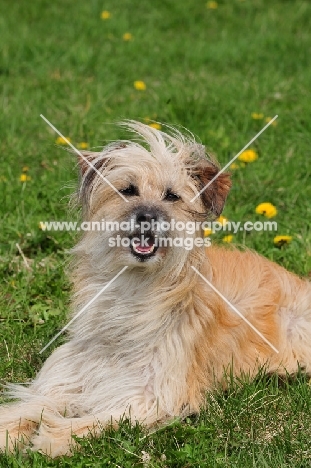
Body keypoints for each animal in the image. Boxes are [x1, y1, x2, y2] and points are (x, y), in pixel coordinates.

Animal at [0, 121, 311, 458]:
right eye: (127, 190)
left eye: (172, 196)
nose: (146, 216)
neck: (135, 287)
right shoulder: (70, 376)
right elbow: (34, 404)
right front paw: (13, 429)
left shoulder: (152, 395)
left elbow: (103, 417)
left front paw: (54, 436)